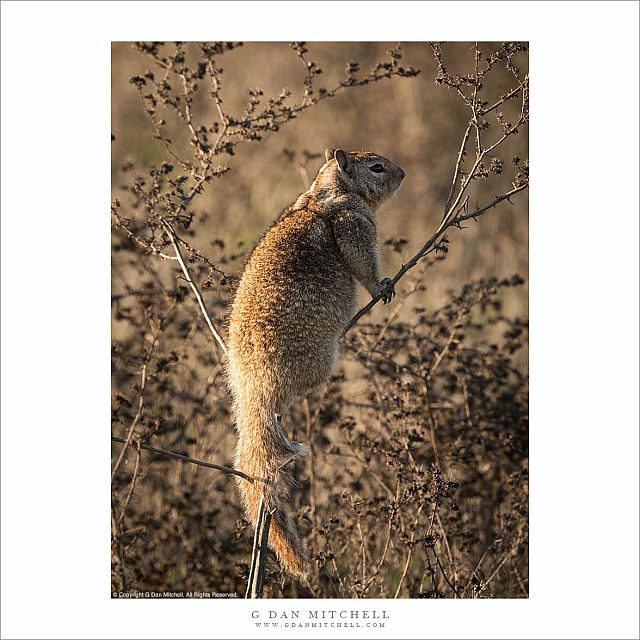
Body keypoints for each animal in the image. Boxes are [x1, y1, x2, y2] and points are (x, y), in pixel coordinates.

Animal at [226, 148, 404, 576]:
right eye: (377, 167)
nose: (403, 174)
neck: (324, 192)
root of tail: (251, 392)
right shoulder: (354, 224)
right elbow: (362, 263)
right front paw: (381, 286)